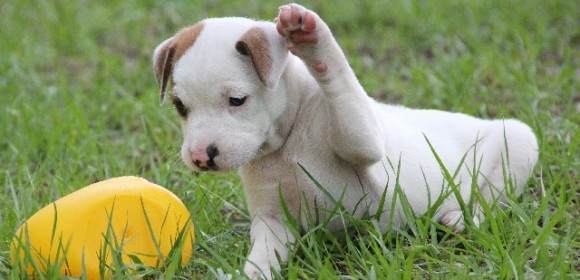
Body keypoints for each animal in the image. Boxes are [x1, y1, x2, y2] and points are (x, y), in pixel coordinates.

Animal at [153, 3, 540, 278]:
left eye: (237, 100)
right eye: (180, 107)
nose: (201, 156)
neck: (287, 139)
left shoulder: (365, 144)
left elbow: (341, 85)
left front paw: (312, 38)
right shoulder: (273, 222)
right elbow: (264, 254)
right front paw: (253, 273)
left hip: (519, 142)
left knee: (489, 202)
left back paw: (459, 217)